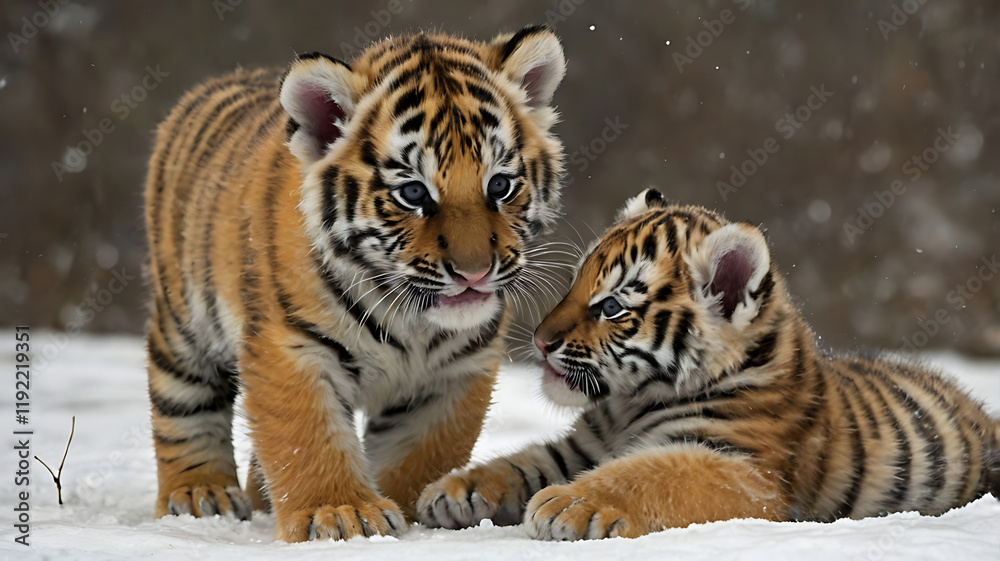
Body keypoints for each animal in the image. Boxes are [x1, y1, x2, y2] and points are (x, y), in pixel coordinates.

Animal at [142, 25, 567, 542]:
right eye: (413, 193)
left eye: (500, 186)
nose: (474, 272)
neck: (410, 320)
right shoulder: (291, 349)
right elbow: (307, 441)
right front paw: (341, 513)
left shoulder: (452, 374)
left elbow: (418, 457)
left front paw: (410, 513)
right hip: (184, 323)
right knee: (182, 403)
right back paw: (200, 494)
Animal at [418, 188, 1000, 540]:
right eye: (575, 284)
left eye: (612, 307)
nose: (540, 343)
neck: (627, 406)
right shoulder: (581, 447)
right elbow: (522, 462)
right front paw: (454, 490)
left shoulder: (741, 468)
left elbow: (651, 473)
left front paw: (567, 504)